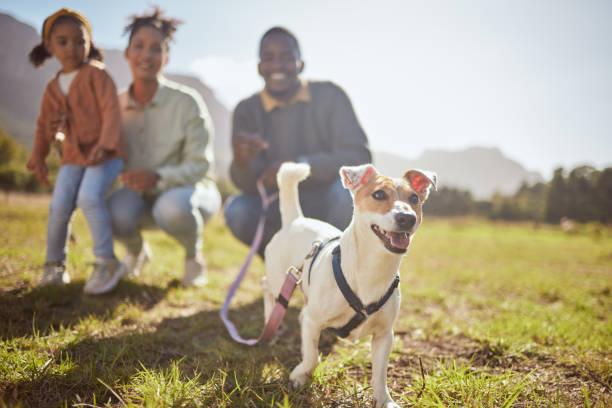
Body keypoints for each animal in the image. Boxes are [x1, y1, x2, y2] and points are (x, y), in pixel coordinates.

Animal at [262, 161, 436, 406]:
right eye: (379, 194)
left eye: (414, 198)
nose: (407, 218)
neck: (372, 268)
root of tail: (296, 220)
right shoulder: (314, 321)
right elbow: (312, 357)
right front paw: (300, 375)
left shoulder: (384, 335)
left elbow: (380, 374)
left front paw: (384, 400)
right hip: (279, 277)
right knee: (268, 289)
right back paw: (270, 318)